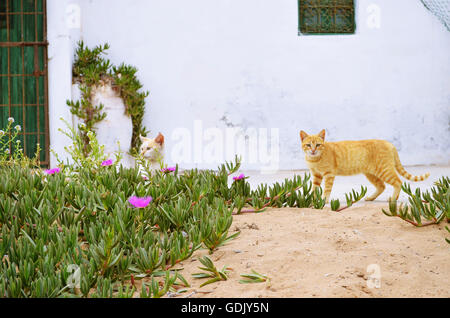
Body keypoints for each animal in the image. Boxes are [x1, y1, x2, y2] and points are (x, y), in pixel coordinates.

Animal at [298, 130, 428, 202]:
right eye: (308, 145)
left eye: (318, 145)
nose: (313, 150)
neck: (314, 159)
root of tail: (389, 143)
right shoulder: (316, 176)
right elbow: (314, 189)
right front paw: (312, 199)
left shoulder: (329, 174)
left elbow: (326, 189)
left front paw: (324, 200)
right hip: (371, 174)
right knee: (382, 186)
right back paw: (371, 198)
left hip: (384, 170)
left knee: (398, 182)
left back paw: (393, 199)